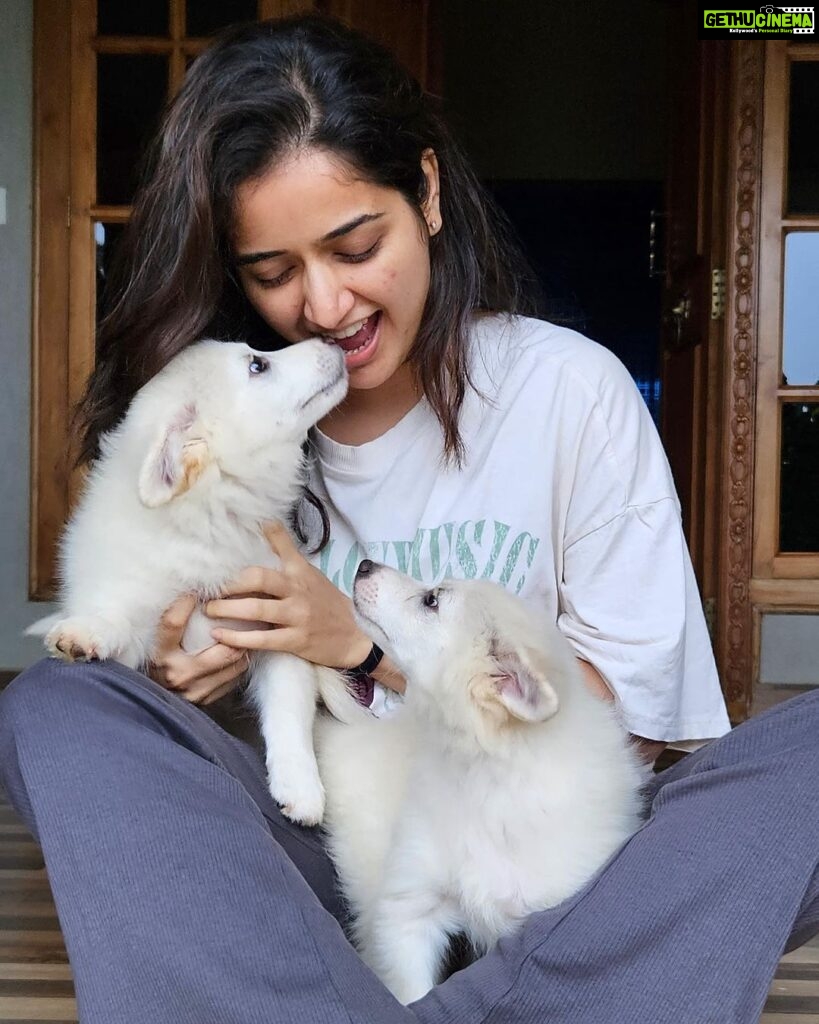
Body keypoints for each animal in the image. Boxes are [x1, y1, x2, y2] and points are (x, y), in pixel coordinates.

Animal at [32, 339, 358, 827]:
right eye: (258, 365)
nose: (332, 341)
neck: (208, 524)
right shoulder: (139, 634)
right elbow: (115, 616)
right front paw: (86, 631)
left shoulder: (279, 631)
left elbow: (288, 710)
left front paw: (301, 787)